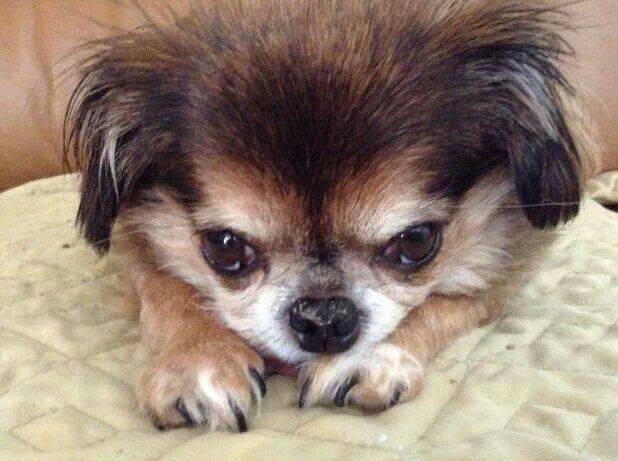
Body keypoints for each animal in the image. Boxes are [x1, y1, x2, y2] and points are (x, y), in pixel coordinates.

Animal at [65, 0, 596, 432]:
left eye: (416, 242)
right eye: (226, 248)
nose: (322, 317)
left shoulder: (507, 265)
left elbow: (447, 301)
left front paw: (376, 356)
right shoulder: (139, 244)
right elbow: (167, 289)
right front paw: (197, 358)